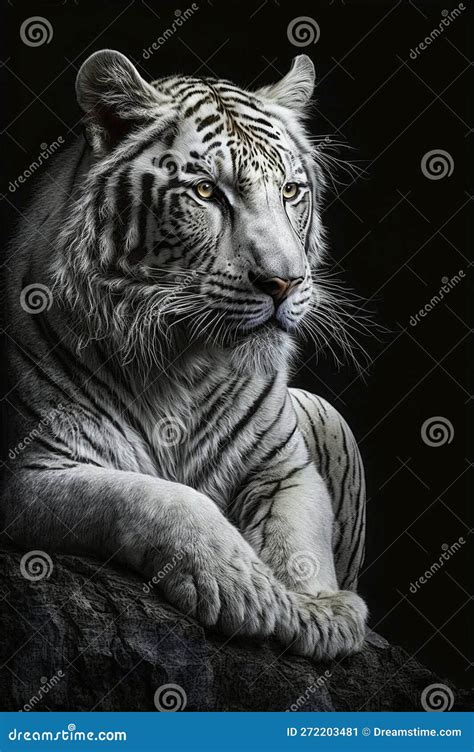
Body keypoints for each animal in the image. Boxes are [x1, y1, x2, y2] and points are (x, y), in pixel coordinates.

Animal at [2, 50, 368, 661]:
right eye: (205, 193)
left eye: (291, 192)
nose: (285, 283)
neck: (185, 362)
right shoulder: (31, 468)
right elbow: (161, 499)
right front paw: (243, 588)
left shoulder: (283, 465)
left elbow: (299, 534)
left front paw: (321, 611)